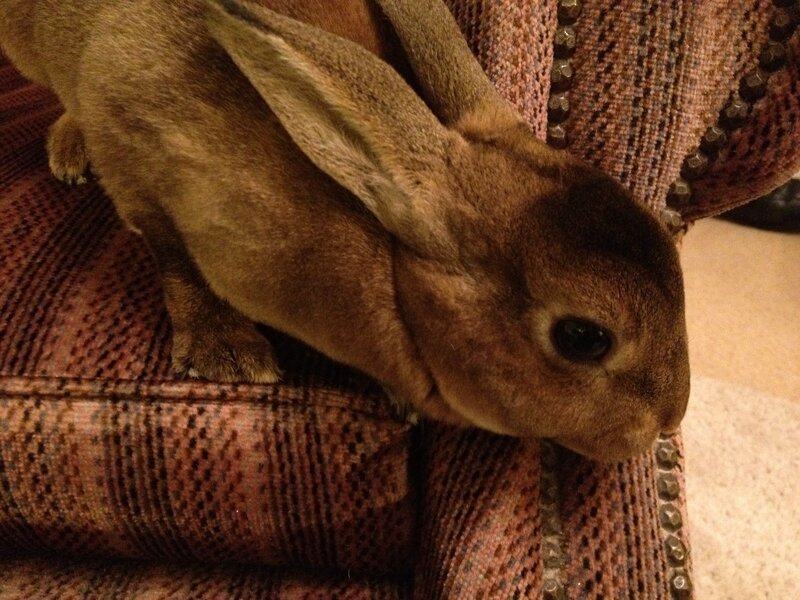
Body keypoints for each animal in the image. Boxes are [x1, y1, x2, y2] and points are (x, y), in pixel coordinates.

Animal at [0, 0, 690, 462]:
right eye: (583, 338)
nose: (668, 419)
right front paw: (228, 354)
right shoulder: (136, 153)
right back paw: (68, 151)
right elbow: (175, 259)